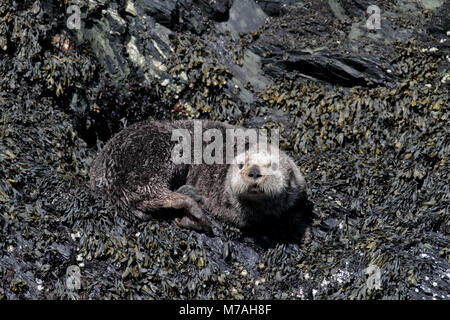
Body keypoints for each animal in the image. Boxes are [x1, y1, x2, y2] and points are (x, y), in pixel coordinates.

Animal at [89, 120, 306, 232]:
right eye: (241, 165)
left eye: (273, 166)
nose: (253, 172)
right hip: (159, 152)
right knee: (152, 193)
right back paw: (193, 209)